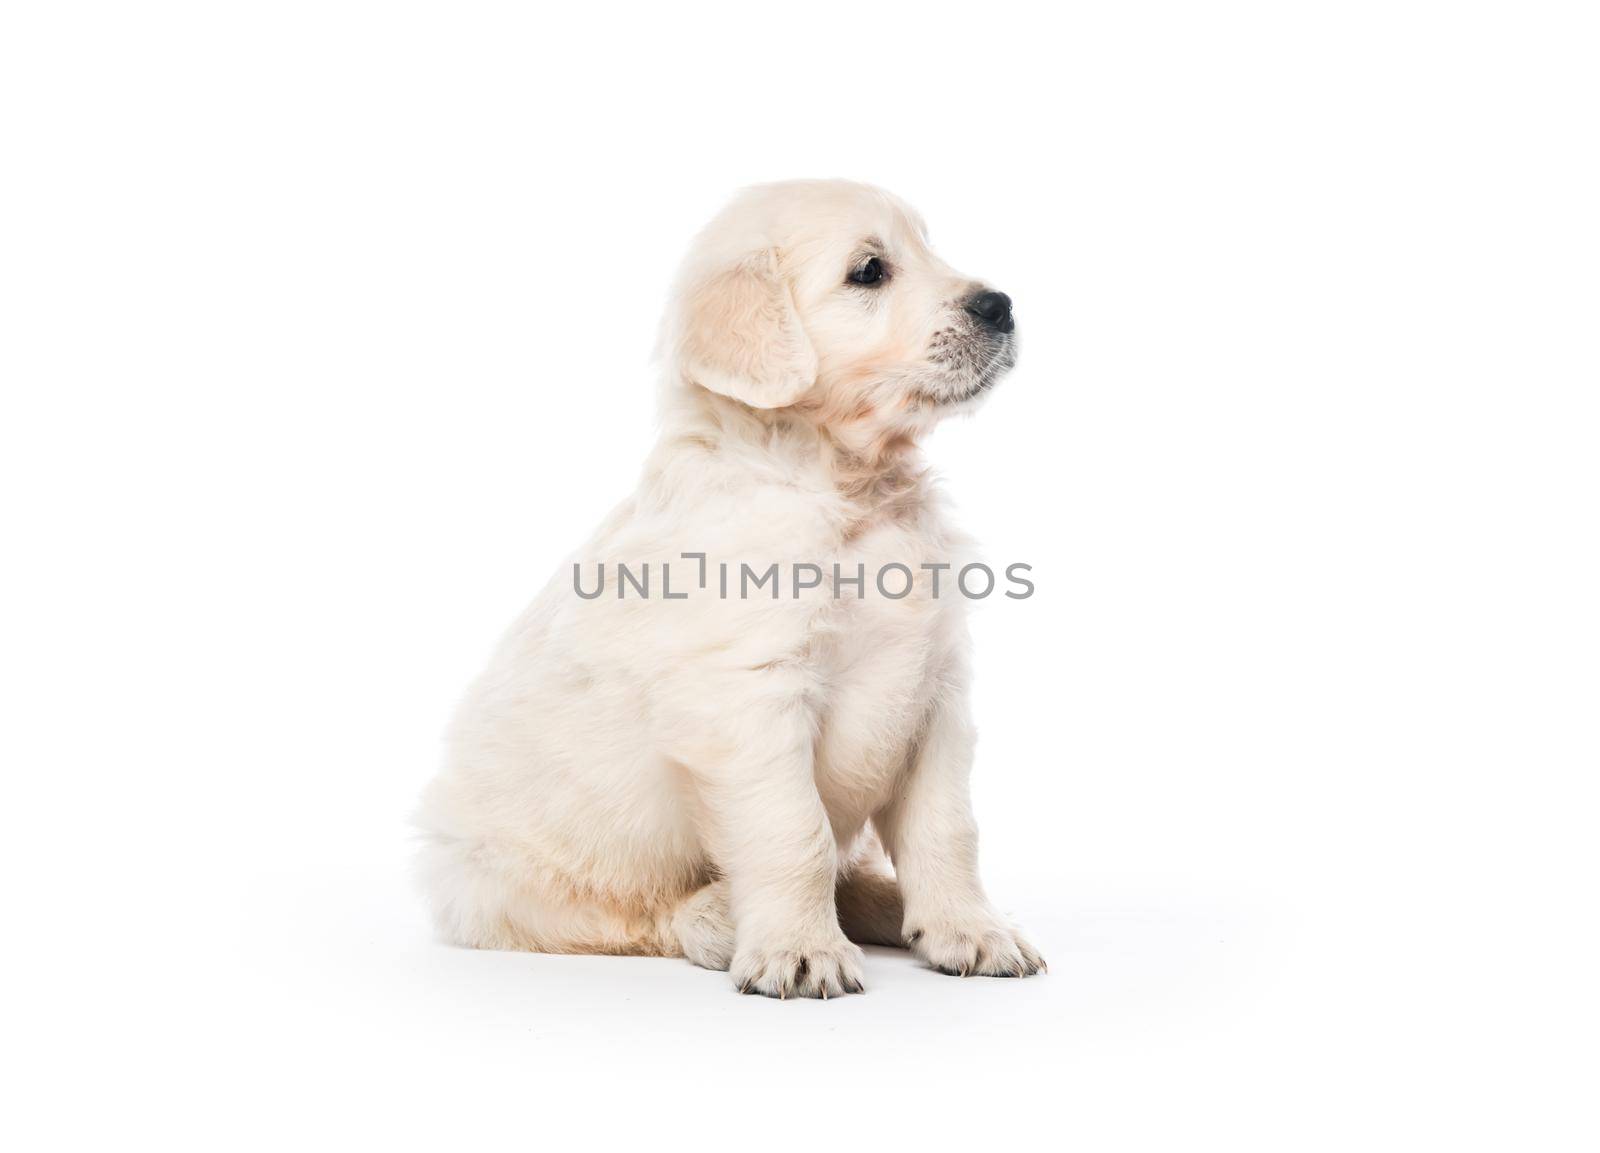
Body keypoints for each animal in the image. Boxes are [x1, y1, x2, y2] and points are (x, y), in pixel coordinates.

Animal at [412, 182, 1036, 997]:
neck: (850, 490)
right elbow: (794, 833)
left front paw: (971, 931)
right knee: (639, 917)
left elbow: (947, 829)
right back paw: (719, 918)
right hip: (510, 881)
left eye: (930, 246)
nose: (1001, 305)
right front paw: (801, 949)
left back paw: (880, 901)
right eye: (869, 271)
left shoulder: (936, 693)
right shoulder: (750, 700)